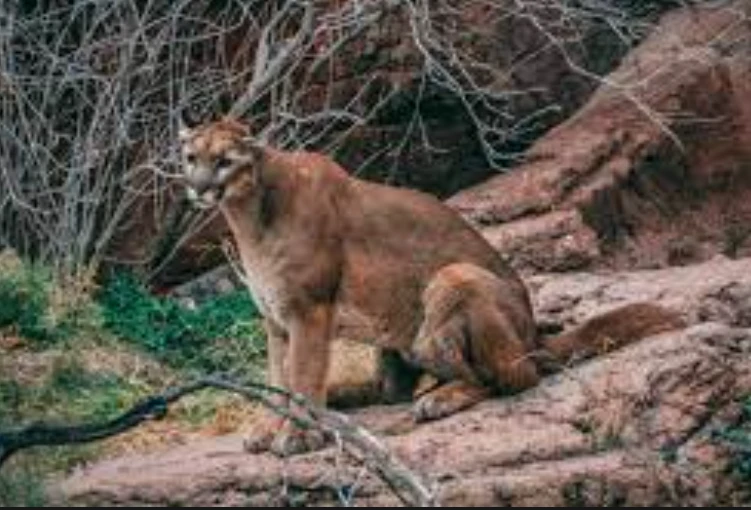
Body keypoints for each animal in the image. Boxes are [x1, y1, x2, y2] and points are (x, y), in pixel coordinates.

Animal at [178, 118, 683, 455]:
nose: (198, 189)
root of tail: (533, 331)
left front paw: (297, 435)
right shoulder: (275, 319)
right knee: (393, 390)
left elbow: (300, 377)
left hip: (454, 278)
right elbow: (278, 377)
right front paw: (271, 427)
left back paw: (438, 400)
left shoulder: (309, 311)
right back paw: (351, 396)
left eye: (223, 162)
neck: (248, 215)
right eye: (191, 159)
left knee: (512, 376)